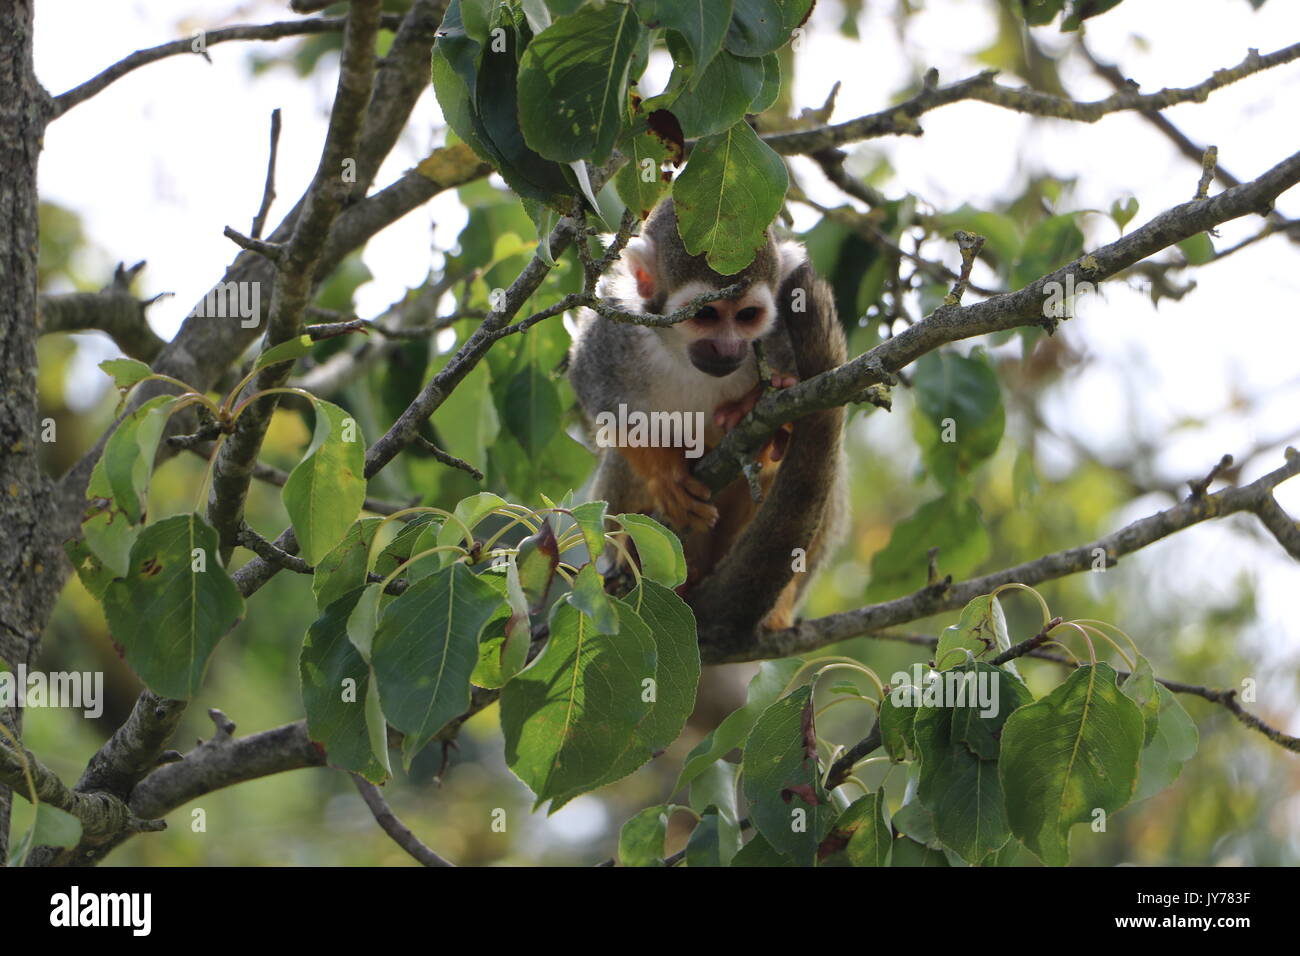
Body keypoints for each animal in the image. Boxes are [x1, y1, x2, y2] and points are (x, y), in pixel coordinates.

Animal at [566, 199, 847, 639]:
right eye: (706, 314)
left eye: (747, 315)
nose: (728, 348)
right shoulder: (612, 329)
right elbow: (605, 407)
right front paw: (665, 474)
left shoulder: (780, 338)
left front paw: (757, 417)